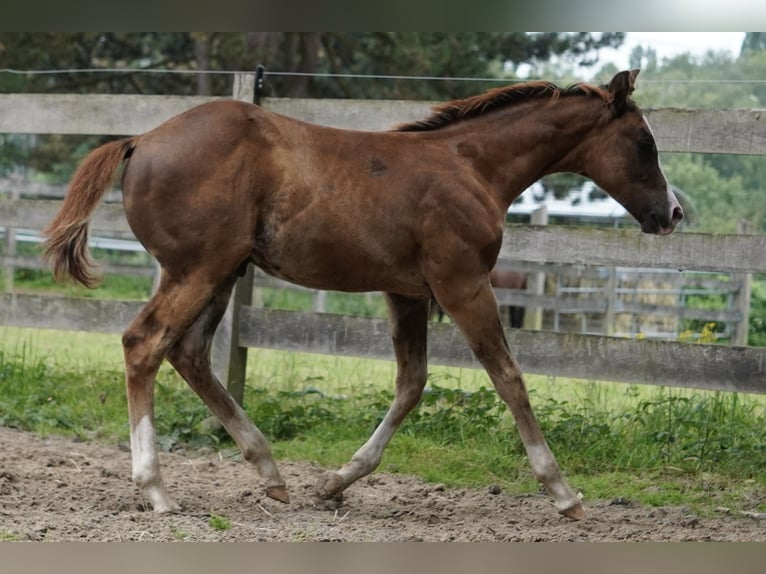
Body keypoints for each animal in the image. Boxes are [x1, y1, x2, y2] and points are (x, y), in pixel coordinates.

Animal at [43, 68, 684, 520]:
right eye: (644, 143)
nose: (673, 214)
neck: (471, 167)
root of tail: (142, 139)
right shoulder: (462, 283)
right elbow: (509, 377)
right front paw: (563, 492)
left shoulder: (406, 292)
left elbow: (411, 384)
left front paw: (334, 483)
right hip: (197, 269)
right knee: (144, 344)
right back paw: (156, 490)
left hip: (219, 272)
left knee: (189, 353)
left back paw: (271, 473)